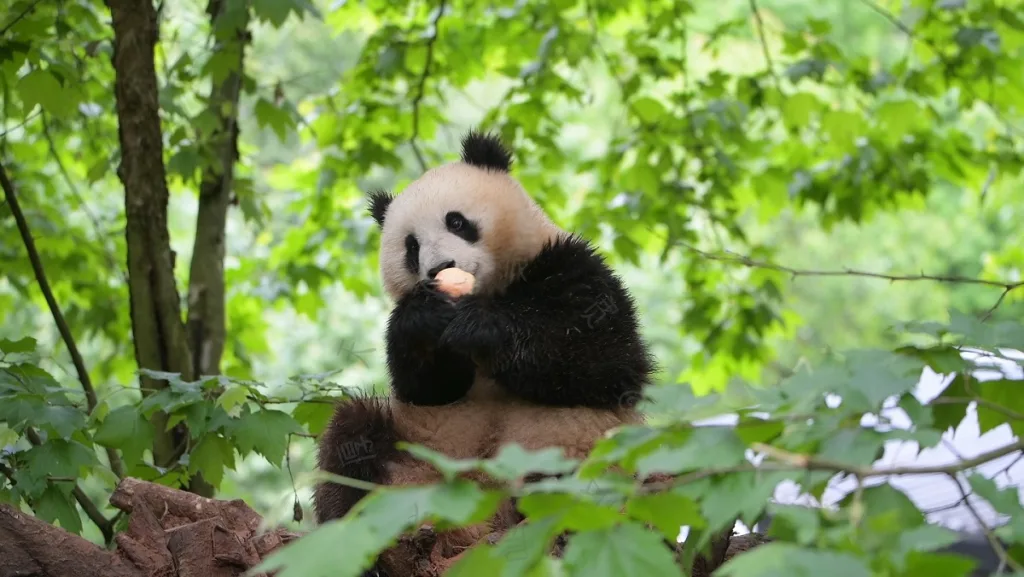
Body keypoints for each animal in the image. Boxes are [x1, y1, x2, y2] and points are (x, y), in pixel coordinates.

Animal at [313, 130, 657, 568]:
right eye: (411, 246)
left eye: (456, 221)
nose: (439, 268)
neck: (486, 290)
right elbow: (429, 389)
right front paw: (425, 316)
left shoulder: (573, 268)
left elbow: (608, 362)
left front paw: (482, 328)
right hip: (413, 461)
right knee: (349, 442)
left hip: (582, 449)